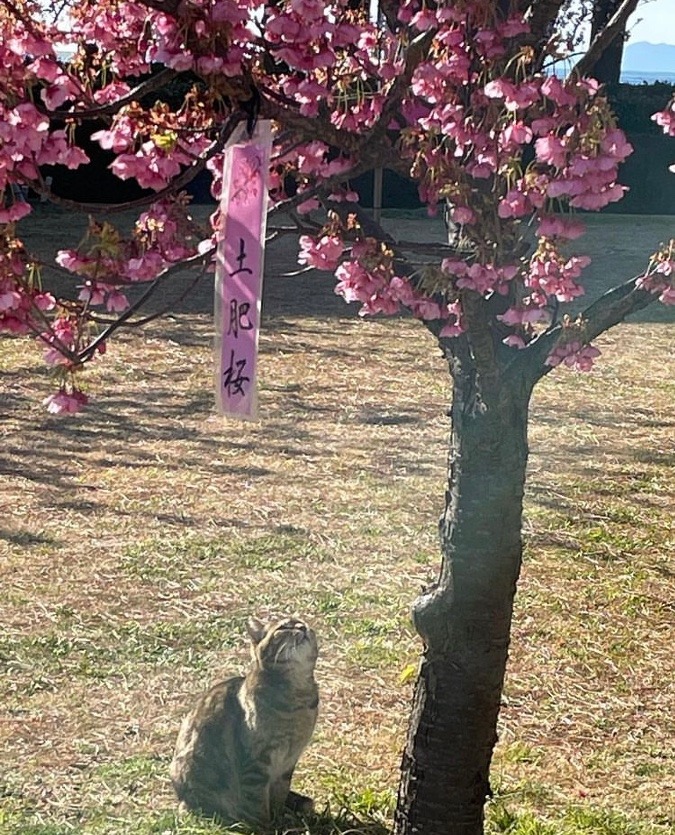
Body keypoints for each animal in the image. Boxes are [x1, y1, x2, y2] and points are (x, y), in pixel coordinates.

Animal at [169, 616, 320, 828]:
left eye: (302, 622)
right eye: (284, 627)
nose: (302, 627)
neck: (298, 699)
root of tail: (181, 798)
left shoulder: (288, 763)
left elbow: (278, 796)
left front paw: (281, 820)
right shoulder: (257, 763)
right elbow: (257, 802)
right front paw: (266, 826)